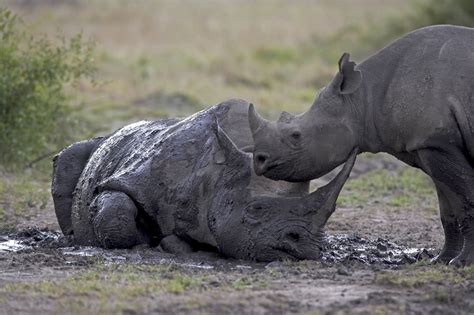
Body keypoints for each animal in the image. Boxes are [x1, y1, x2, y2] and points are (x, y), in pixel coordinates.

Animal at [51, 99, 356, 262]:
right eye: (255, 210)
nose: (306, 243)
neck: (214, 174)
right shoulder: (133, 179)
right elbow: (117, 215)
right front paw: (148, 243)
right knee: (68, 157)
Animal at [248, 25, 474, 266]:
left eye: (296, 135)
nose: (259, 160)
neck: (363, 98)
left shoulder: (436, 143)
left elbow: (466, 200)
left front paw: (463, 262)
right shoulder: (429, 146)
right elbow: (448, 208)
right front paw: (442, 260)